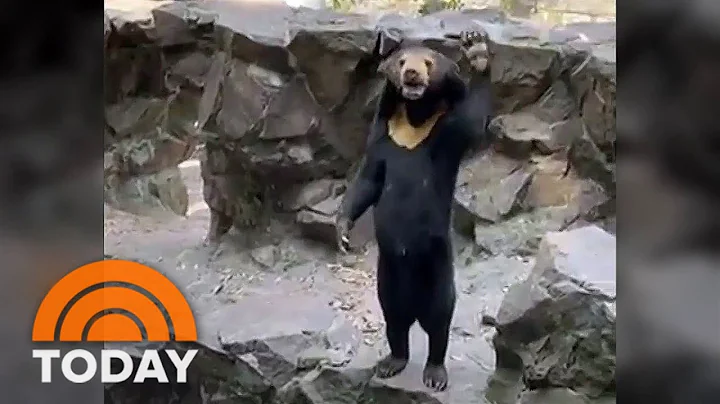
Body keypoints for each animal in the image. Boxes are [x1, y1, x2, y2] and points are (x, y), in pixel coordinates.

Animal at [335, 30, 494, 391]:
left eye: (429, 63)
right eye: (402, 61)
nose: (411, 75)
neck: (414, 119)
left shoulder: (447, 133)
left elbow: (475, 124)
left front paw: (477, 48)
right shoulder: (383, 133)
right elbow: (369, 179)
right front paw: (342, 232)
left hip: (437, 266)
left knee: (439, 319)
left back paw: (434, 373)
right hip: (387, 277)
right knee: (394, 320)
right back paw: (391, 362)